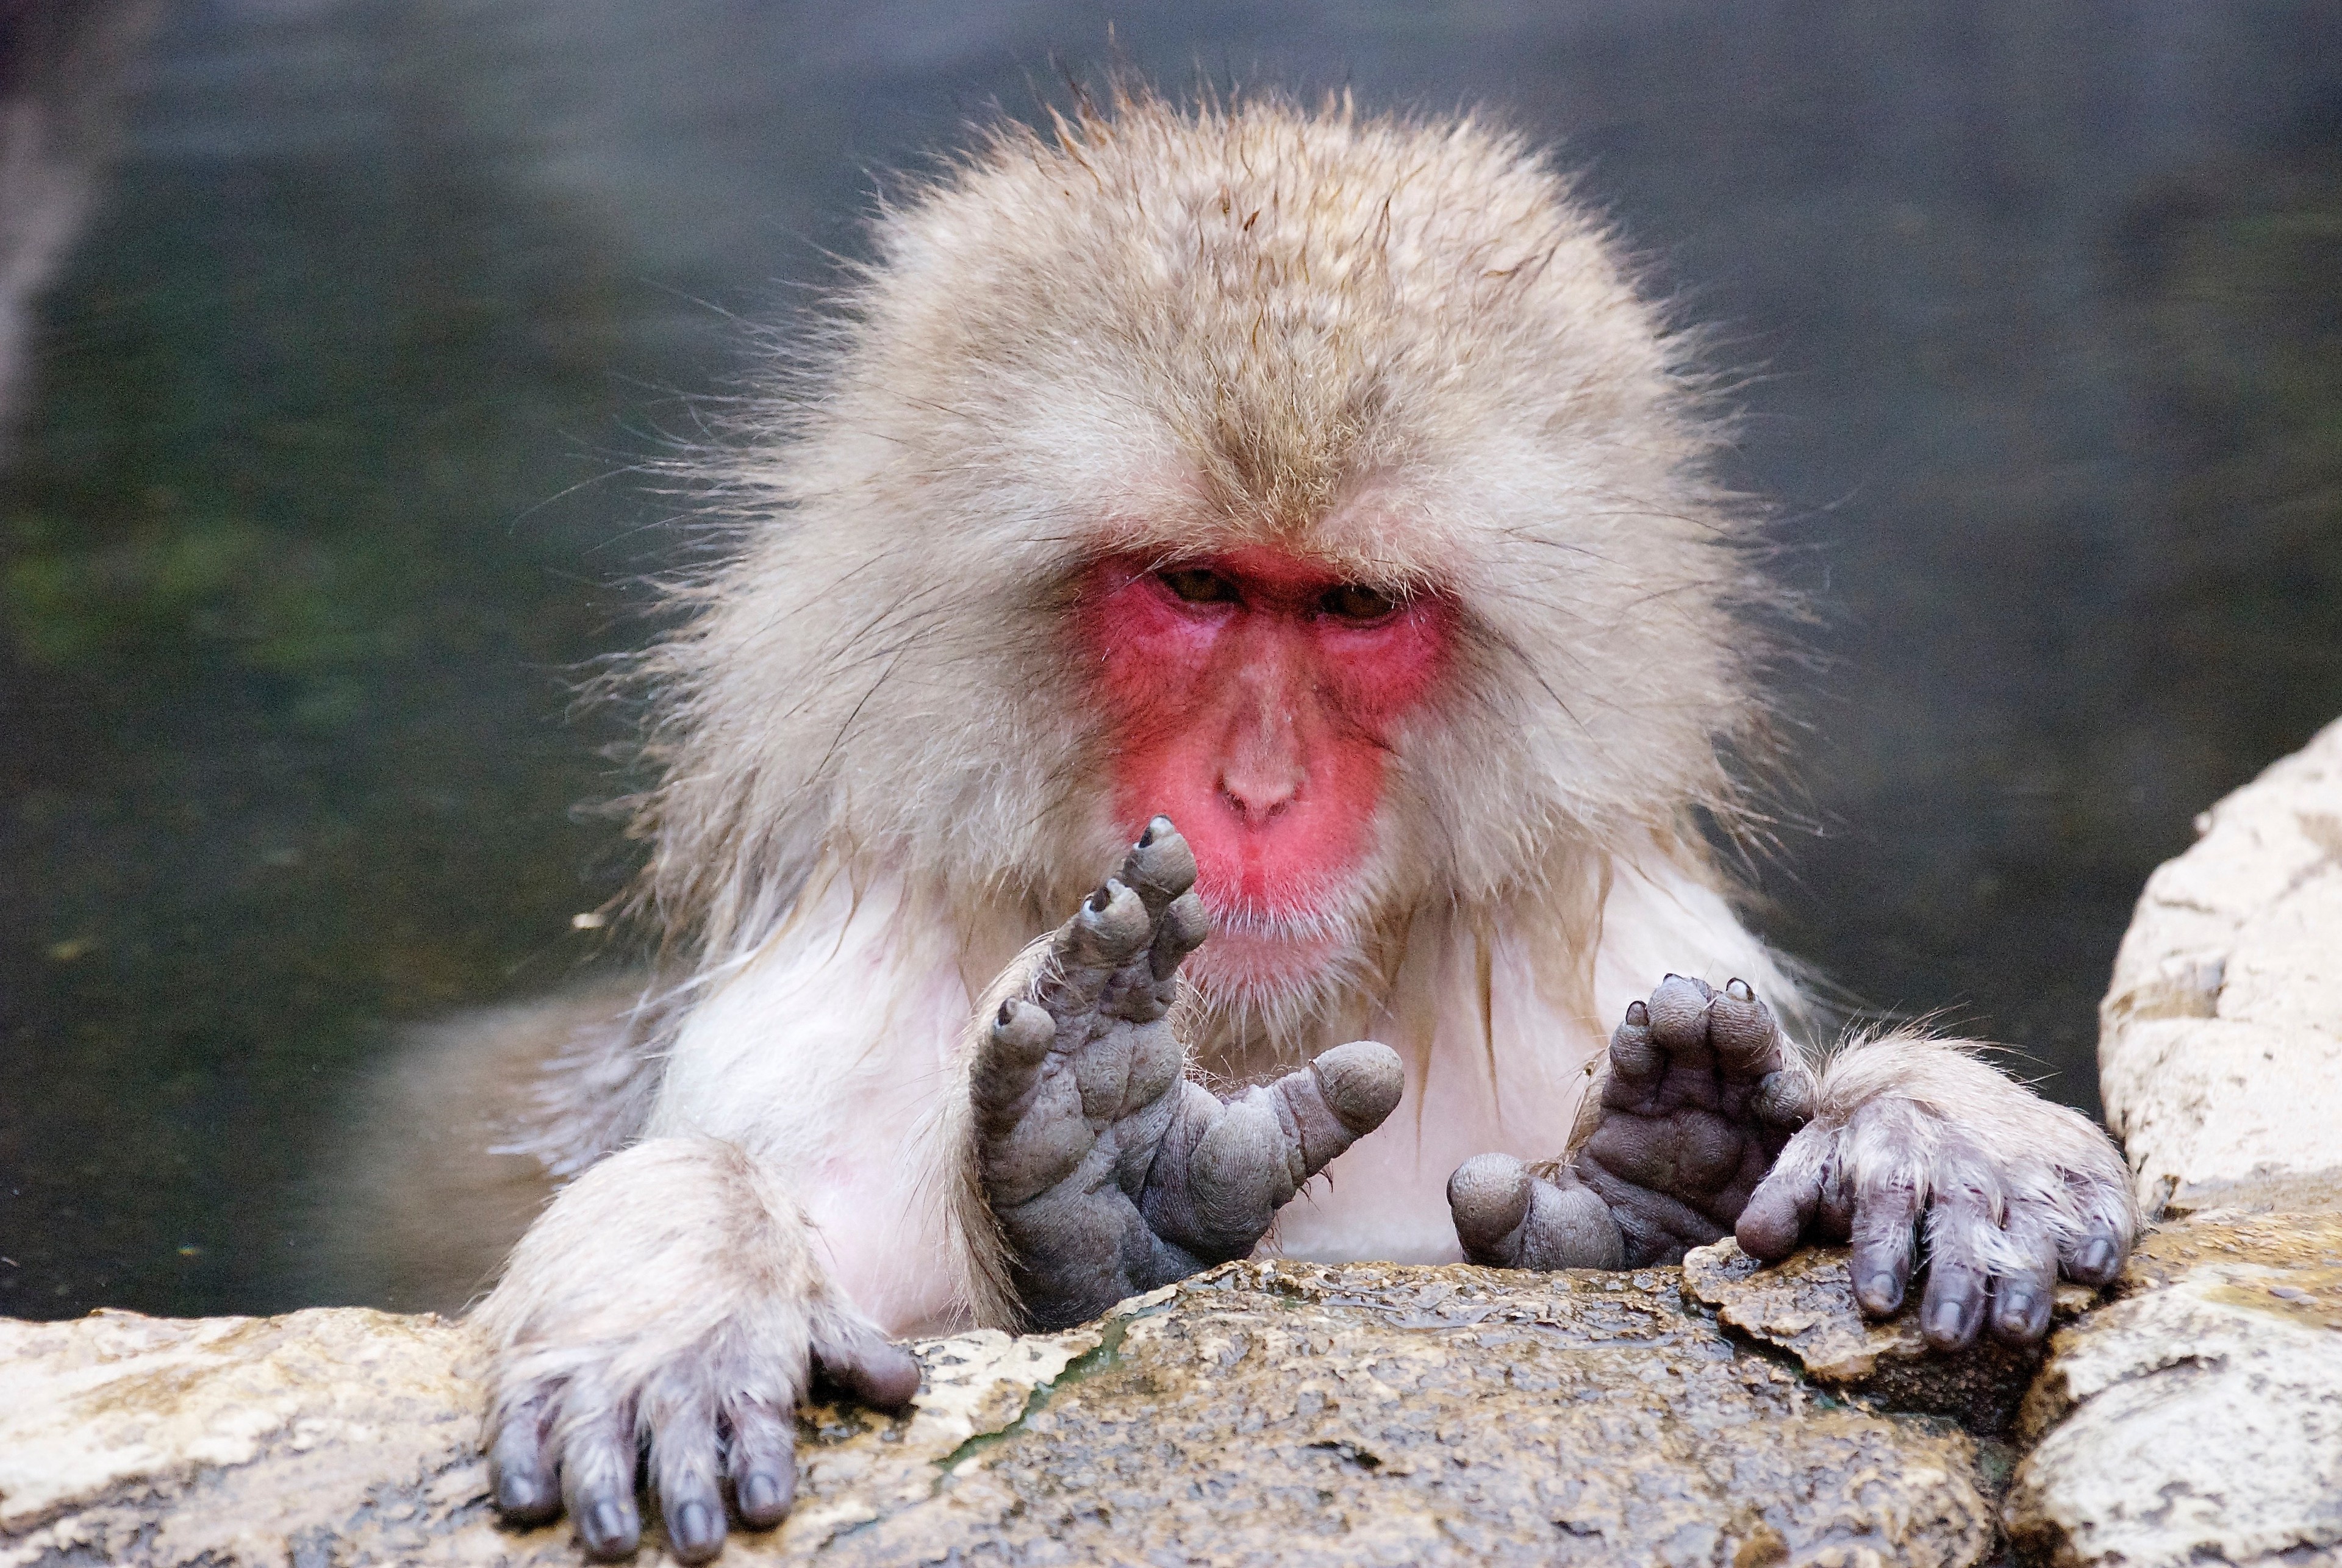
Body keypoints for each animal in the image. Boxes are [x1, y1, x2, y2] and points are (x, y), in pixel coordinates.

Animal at [463, 87, 2138, 1564]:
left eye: (1357, 604)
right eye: (1197, 585)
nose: (1258, 792)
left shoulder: (1622, 950)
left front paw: (1921, 1126)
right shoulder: (815, 1020)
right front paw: (686, 1288)